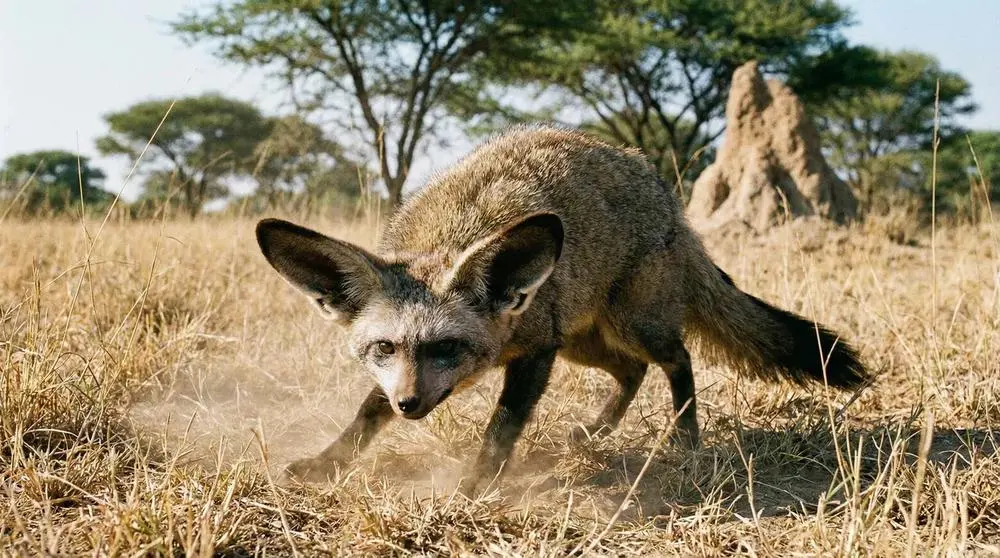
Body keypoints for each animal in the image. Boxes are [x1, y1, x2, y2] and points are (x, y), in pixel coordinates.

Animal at [255, 124, 868, 494]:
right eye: (383, 347)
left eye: (447, 347)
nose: (408, 405)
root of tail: (672, 205)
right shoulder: (532, 347)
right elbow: (364, 414)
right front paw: (327, 462)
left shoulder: (536, 351)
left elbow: (502, 426)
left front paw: (475, 485)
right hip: (582, 341)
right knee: (632, 370)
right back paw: (597, 432)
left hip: (625, 325)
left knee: (677, 359)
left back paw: (686, 439)